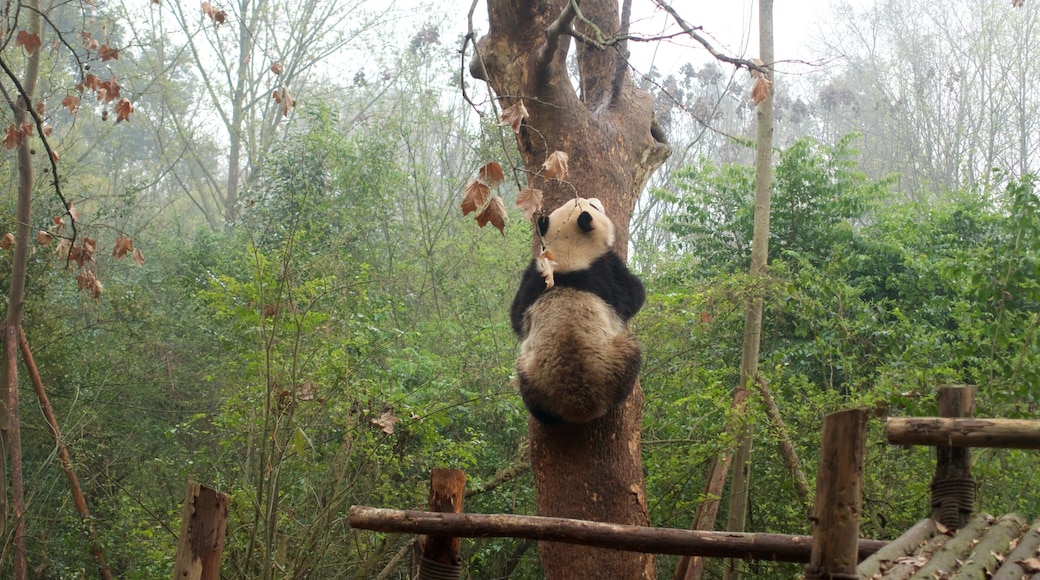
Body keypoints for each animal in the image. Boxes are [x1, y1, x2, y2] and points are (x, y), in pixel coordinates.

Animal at [509, 197, 646, 424]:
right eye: (593, 206)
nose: (594, 199)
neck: (567, 253)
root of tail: (580, 404)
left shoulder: (534, 279)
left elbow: (516, 315)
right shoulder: (604, 273)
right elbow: (634, 295)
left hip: (531, 377)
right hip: (615, 362)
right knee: (632, 352)